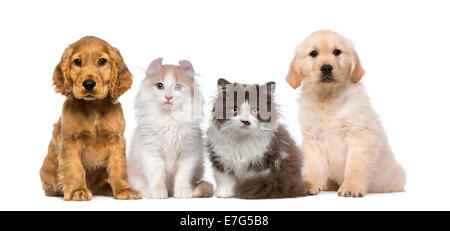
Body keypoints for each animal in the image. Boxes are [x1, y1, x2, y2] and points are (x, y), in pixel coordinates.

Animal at [41, 36, 142, 200]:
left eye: (102, 61)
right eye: (77, 61)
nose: (88, 84)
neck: (93, 107)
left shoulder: (116, 140)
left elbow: (118, 167)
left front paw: (124, 190)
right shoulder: (70, 141)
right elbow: (74, 168)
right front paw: (77, 190)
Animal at [125, 58, 212, 199]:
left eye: (178, 87)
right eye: (160, 86)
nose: (168, 97)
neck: (169, 120)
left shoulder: (188, 152)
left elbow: (183, 177)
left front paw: (183, 192)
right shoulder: (152, 152)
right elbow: (156, 176)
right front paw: (158, 193)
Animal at [286, 30, 406, 197]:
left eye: (337, 52)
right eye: (313, 53)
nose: (326, 68)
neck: (328, 98)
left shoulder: (359, 136)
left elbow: (355, 166)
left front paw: (351, 187)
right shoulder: (312, 140)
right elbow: (313, 166)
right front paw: (310, 184)